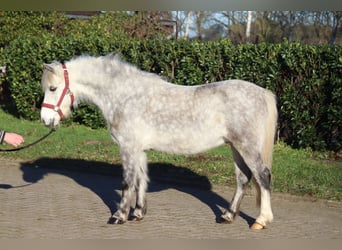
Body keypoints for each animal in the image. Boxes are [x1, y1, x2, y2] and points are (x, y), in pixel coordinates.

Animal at [40, 53, 278, 229]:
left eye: (53, 88)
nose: (45, 119)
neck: (125, 95)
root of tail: (262, 93)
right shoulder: (139, 150)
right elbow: (140, 180)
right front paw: (138, 213)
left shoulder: (128, 147)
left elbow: (127, 181)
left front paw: (119, 216)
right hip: (236, 147)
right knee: (243, 179)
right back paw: (228, 216)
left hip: (246, 147)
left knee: (263, 176)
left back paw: (261, 220)